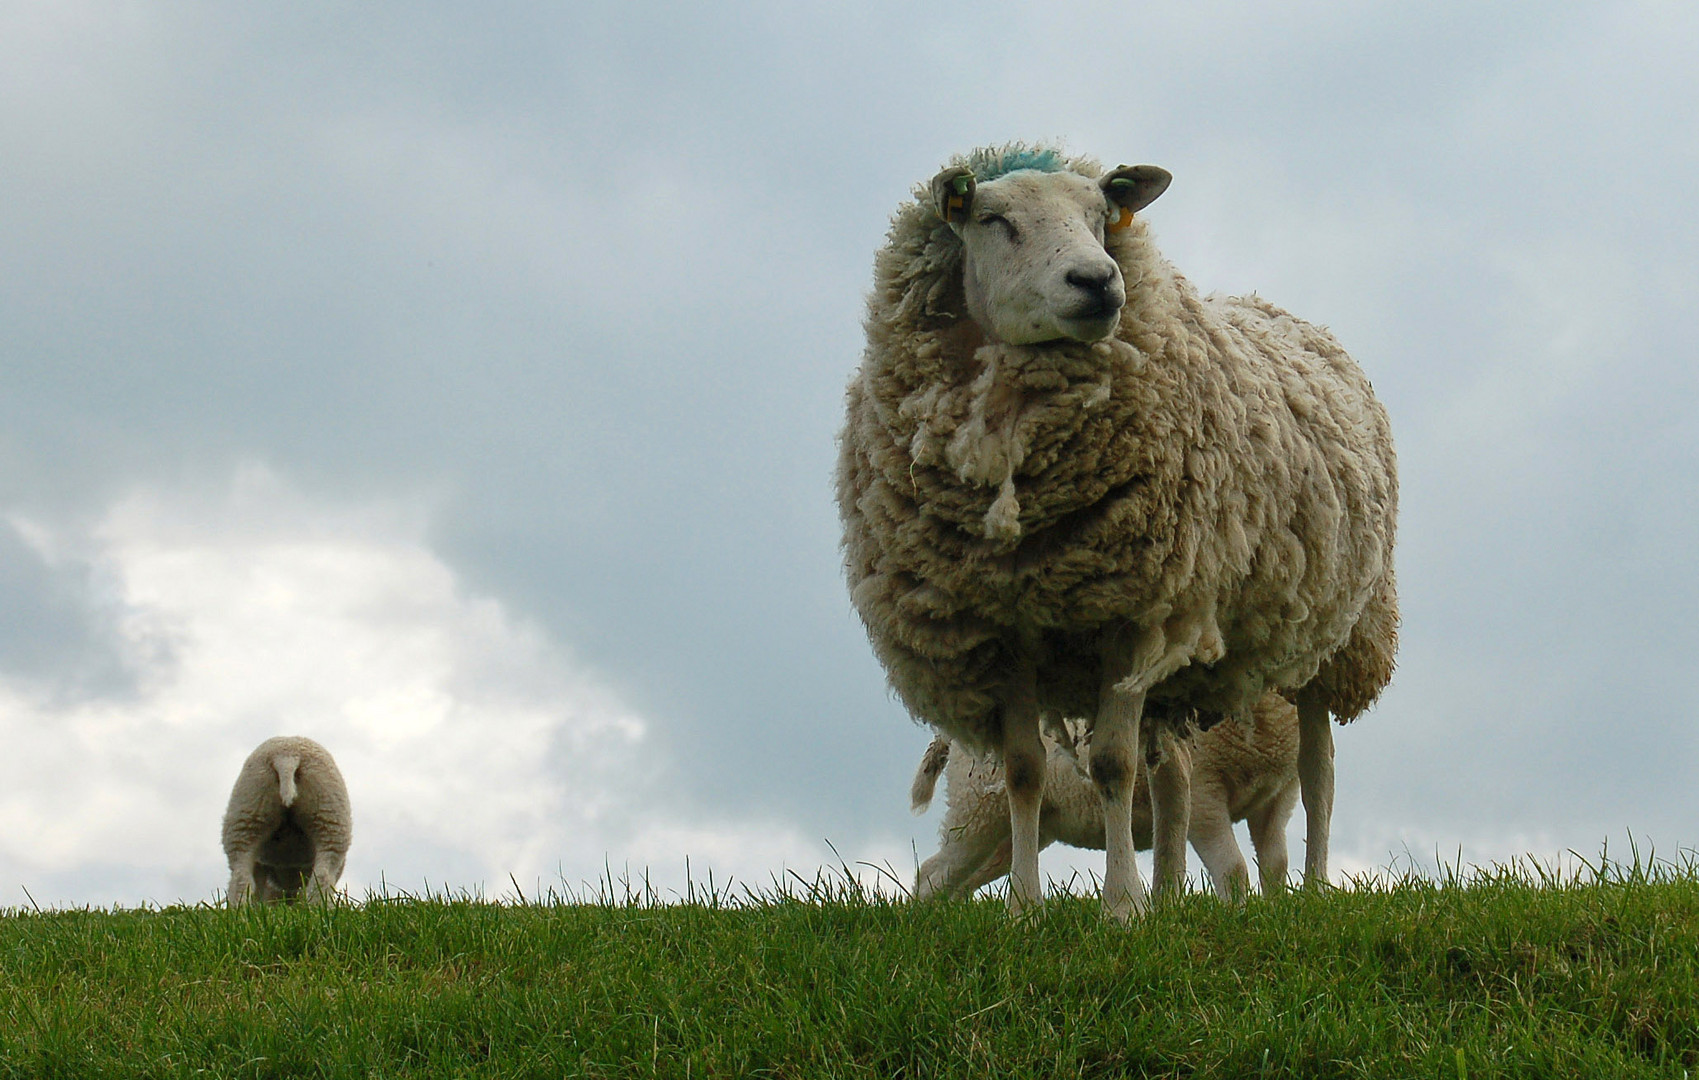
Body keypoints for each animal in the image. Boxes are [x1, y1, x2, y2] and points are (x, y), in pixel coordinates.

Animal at [222, 733, 351, 903]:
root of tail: (287, 755)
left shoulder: (261, 864)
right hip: (330, 820)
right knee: (322, 877)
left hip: (249, 811)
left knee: (241, 879)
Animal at [917, 692, 1298, 903]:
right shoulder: (1205, 792)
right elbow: (1233, 869)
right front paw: (1236, 916)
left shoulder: (1277, 798)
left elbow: (1276, 866)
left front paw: (1271, 914)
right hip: (977, 810)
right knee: (931, 873)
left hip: (1008, 835)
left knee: (957, 880)